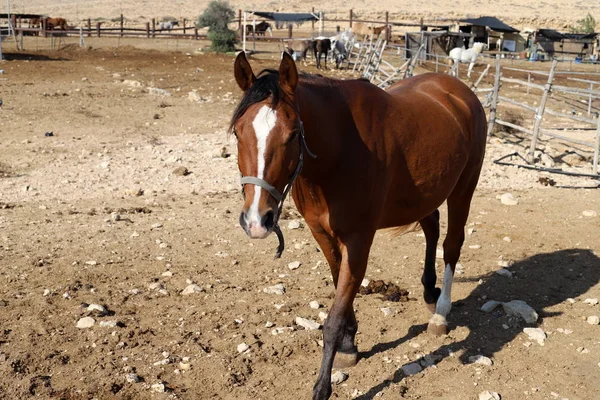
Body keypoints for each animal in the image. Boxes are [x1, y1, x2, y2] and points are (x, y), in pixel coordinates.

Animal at [230, 51, 488, 398]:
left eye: (293, 133)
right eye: (238, 132)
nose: (257, 220)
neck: (339, 153)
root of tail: (459, 91)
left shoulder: (359, 239)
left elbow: (335, 315)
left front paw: (322, 385)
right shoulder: (323, 234)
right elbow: (340, 284)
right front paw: (350, 345)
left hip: (463, 187)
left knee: (452, 244)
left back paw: (441, 313)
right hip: (427, 192)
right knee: (432, 229)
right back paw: (428, 291)